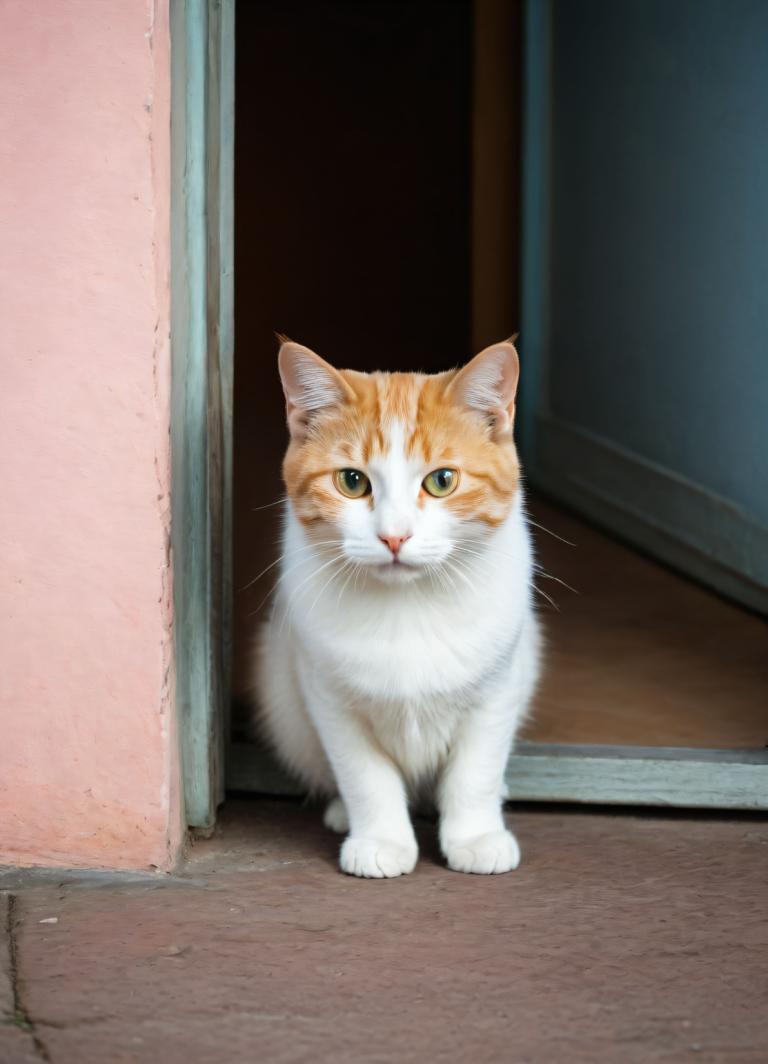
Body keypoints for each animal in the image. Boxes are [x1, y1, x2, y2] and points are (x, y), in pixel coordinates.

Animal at [253, 336, 538, 876]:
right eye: (351, 481)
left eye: (442, 480)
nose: (394, 536)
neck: (409, 604)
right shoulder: (331, 700)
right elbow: (366, 777)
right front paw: (380, 840)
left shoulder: (495, 693)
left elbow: (475, 772)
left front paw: (476, 837)